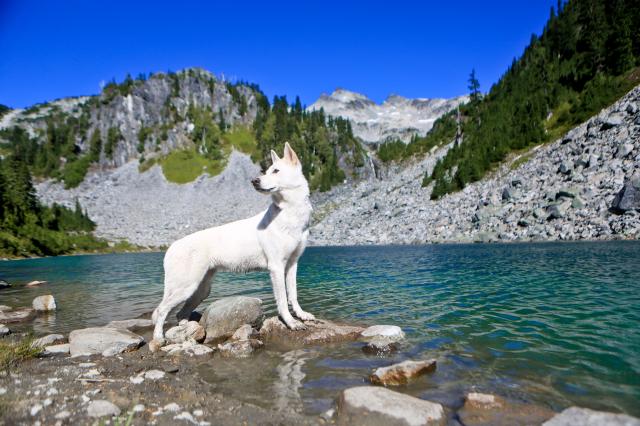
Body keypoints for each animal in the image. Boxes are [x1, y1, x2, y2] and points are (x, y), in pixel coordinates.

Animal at [150, 142, 316, 350]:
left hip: (200, 290)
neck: (288, 212)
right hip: (186, 287)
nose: (254, 181)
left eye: (276, 170)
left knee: (181, 313)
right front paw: (291, 323)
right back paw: (159, 338)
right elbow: (283, 301)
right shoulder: (276, 268)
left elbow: (293, 295)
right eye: (266, 171)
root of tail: (171, 248)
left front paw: (301, 315)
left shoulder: (292, 265)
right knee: (162, 310)